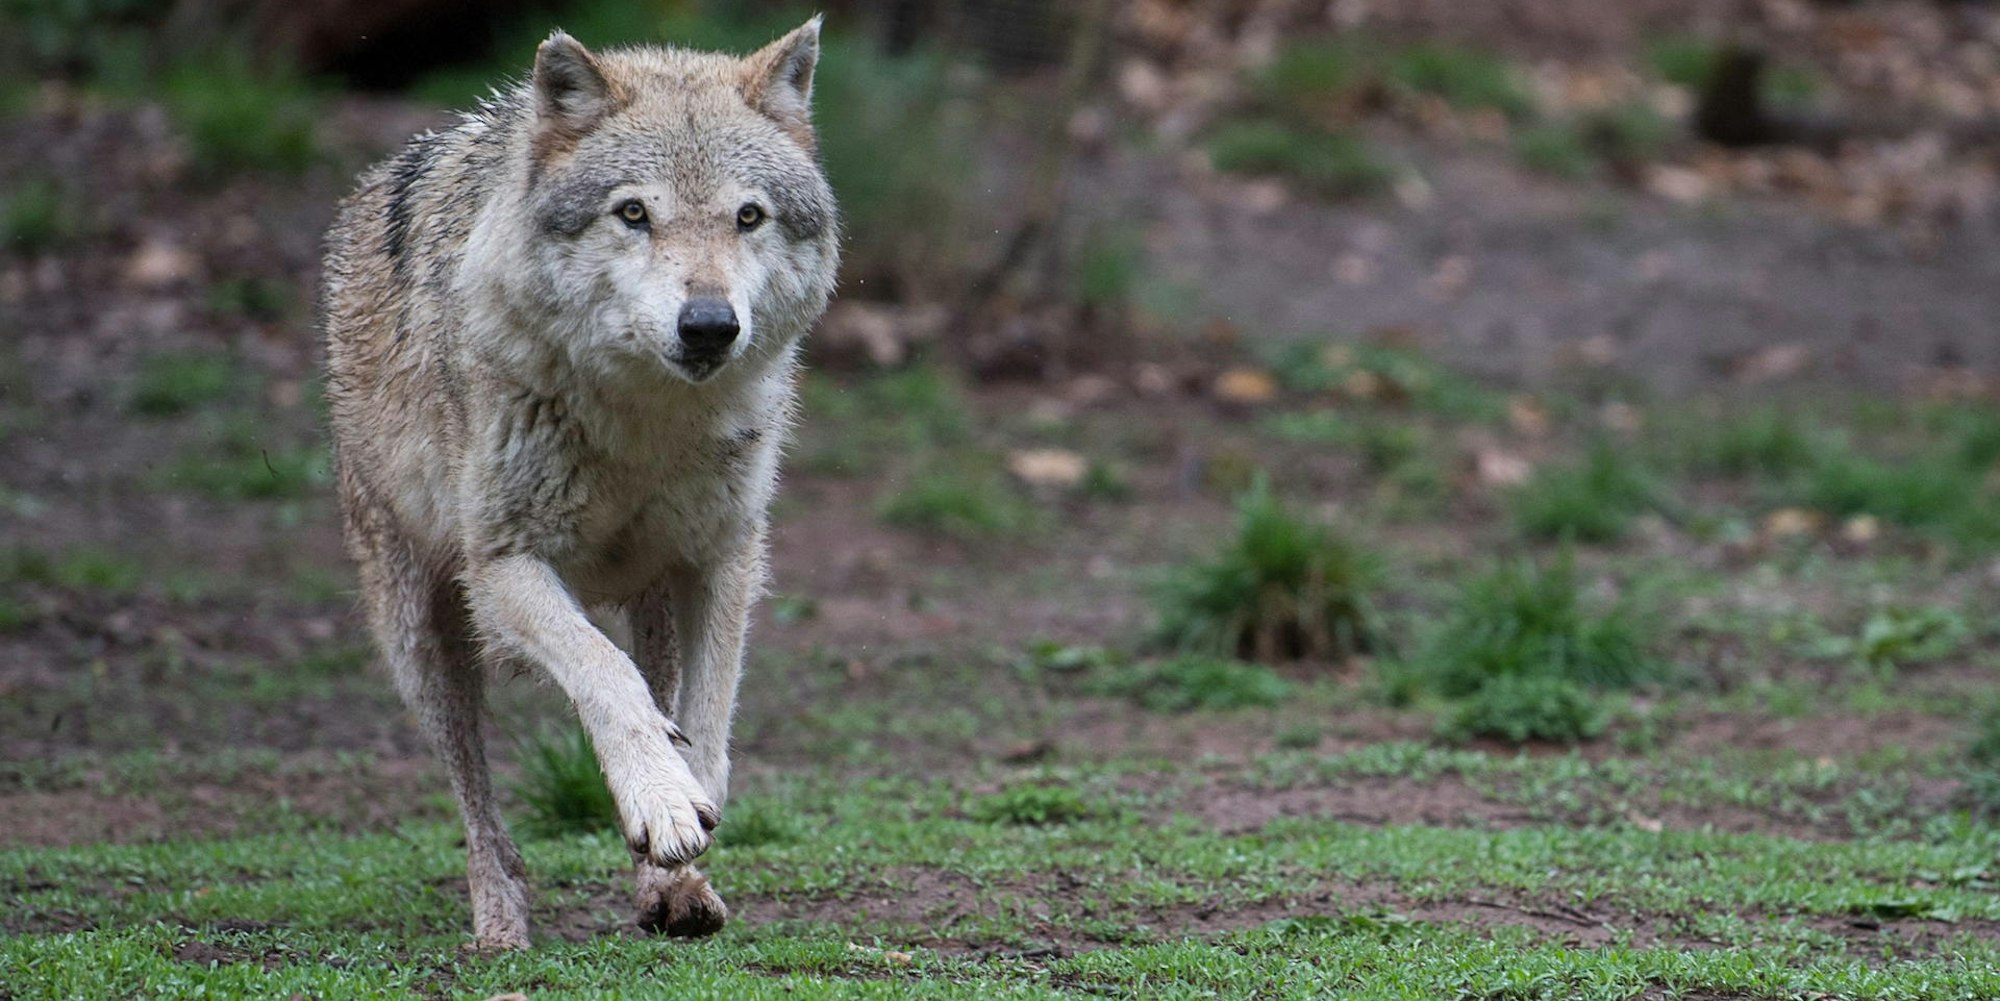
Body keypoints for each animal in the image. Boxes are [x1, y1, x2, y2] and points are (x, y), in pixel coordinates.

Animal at [320, 19, 838, 949]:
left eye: (748, 216)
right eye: (634, 213)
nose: (710, 325)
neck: (645, 423)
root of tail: (381, 178)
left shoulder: (723, 559)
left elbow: (708, 719)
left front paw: (682, 823)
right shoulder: (503, 567)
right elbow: (605, 675)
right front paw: (660, 799)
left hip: (652, 595)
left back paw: (673, 891)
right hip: (419, 636)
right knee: (476, 800)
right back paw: (500, 922)